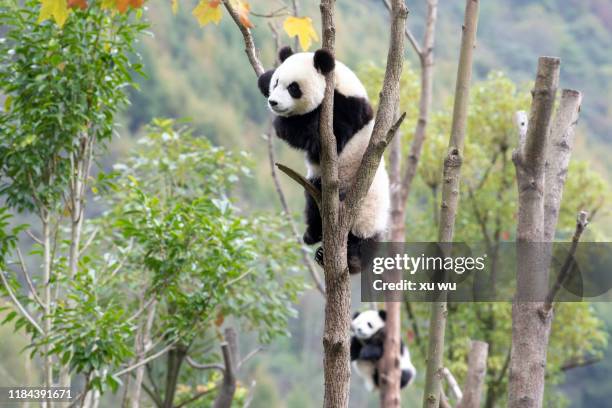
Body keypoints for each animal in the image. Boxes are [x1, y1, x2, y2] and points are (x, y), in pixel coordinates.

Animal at [256, 46, 390, 272]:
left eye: (293, 88)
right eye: (277, 82)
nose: (273, 102)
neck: (338, 85)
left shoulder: (346, 111)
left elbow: (320, 139)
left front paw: (284, 124)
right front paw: (264, 79)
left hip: (364, 213)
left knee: (360, 242)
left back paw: (351, 259)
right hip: (317, 187)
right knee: (312, 204)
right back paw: (313, 237)